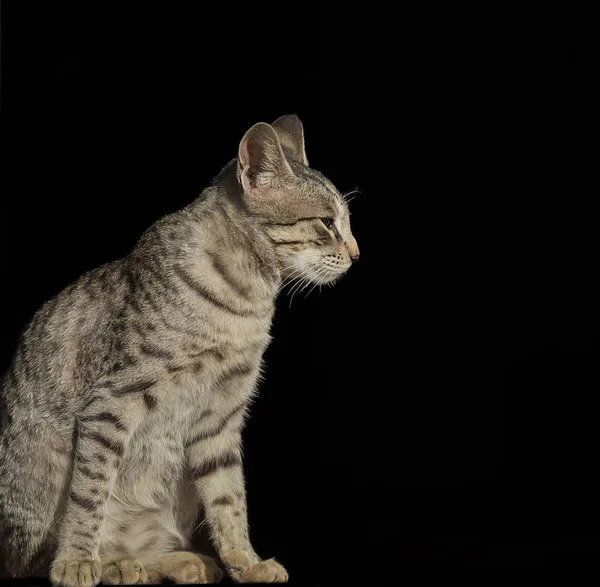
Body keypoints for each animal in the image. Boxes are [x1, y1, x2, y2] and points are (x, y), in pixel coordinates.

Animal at [0, 113, 356, 584]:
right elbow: (89, 494)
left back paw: (177, 561)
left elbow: (229, 500)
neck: (248, 301)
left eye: (346, 223)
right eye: (327, 223)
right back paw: (112, 563)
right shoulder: (111, 402)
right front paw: (76, 560)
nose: (356, 254)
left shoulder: (221, 416)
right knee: (35, 558)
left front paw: (246, 563)